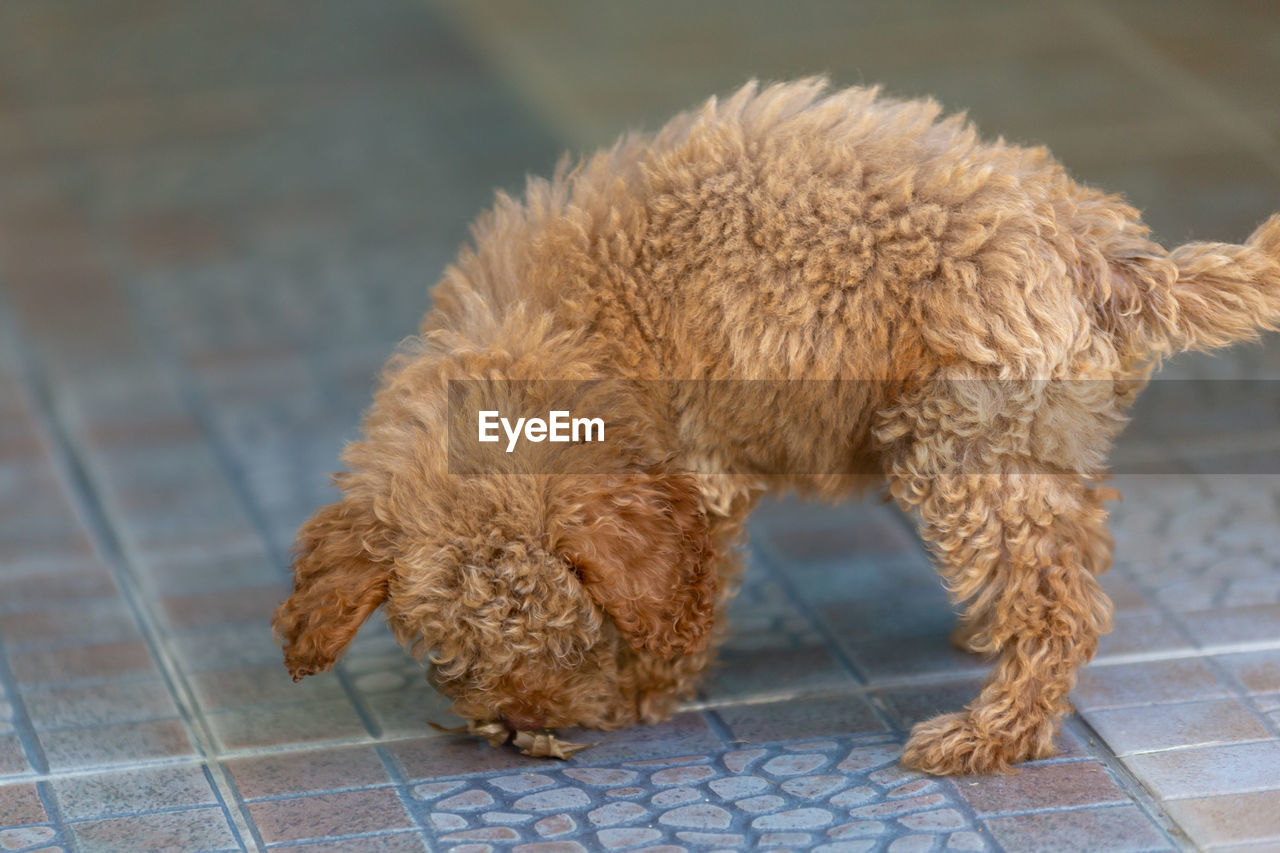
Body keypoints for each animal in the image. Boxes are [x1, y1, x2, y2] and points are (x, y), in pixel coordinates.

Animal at [272, 78, 1280, 768]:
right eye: (450, 654)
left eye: (575, 636)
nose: (522, 727)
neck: (560, 333)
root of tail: (1102, 255)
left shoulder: (696, 471)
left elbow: (685, 598)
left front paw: (647, 689)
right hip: (1028, 432)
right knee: (1069, 550)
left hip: (958, 443)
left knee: (1061, 603)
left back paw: (990, 732)